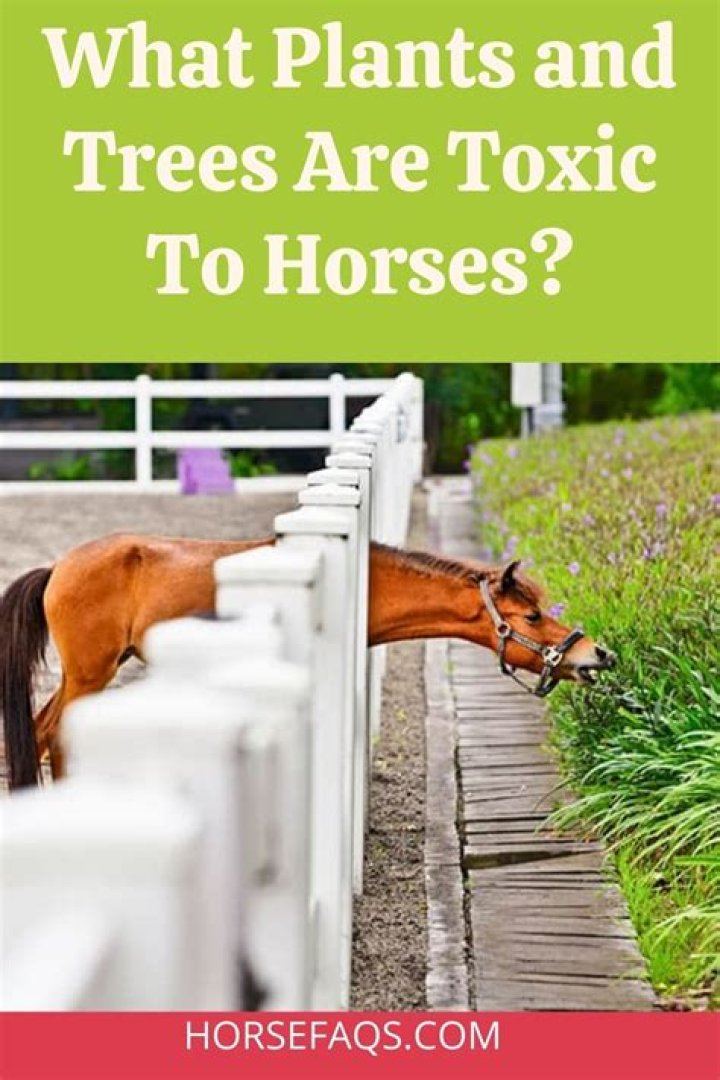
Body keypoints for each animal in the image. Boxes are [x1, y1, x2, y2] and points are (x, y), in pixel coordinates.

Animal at [0, 532, 615, 790]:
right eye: (531, 615)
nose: (597, 653)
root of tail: (58, 567)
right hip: (90, 673)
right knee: (54, 735)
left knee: (43, 729)